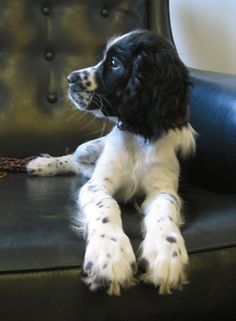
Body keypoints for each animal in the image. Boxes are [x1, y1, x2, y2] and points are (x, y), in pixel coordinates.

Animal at [27, 28, 195, 294]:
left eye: (114, 63)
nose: (70, 78)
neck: (137, 136)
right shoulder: (97, 185)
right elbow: (106, 206)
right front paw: (110, 254)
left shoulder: (164, 190)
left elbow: (164, 210)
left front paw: (167, 252)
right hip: (86, 149)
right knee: (74, 161)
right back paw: (42, 165)